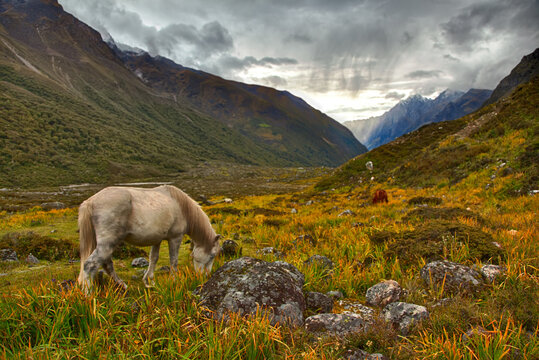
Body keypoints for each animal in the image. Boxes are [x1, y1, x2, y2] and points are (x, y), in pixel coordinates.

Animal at [77, 184, 220, 292]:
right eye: (212, 255)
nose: (206, 276)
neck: (180, 206)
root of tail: (90, 202)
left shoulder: (157, 240)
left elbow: (153, 259)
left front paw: (149, 282)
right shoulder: (175, 238)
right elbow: (173, 261)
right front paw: (174, 281)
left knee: (107, 264)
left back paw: (123, 286)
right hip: (108, 243)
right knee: (90, 265)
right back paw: (88, 296)